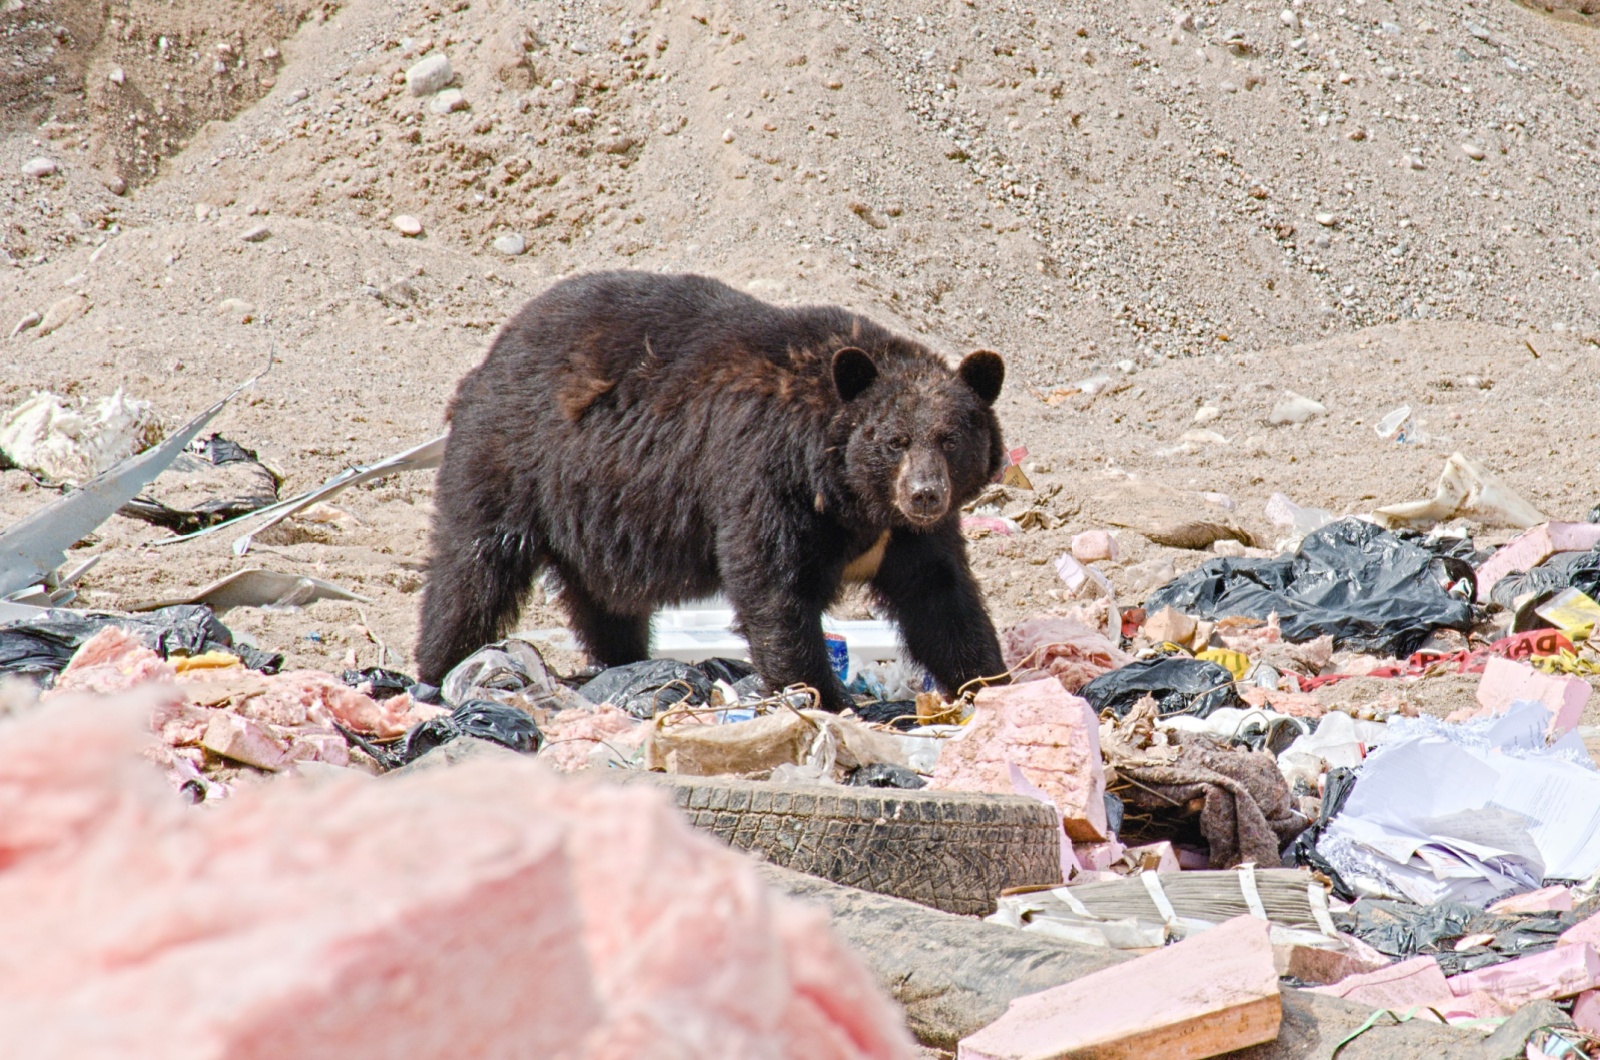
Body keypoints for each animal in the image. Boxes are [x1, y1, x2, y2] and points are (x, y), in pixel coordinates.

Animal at [419, 272, 1004, 714]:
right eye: (894, 440)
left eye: (950, 439)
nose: (925, 494)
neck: (849, 497)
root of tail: (498, 347)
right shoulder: (767, 473)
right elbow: (773, 586)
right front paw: (826, 697)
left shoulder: (908, 536)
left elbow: (941, 599)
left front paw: (989, 681)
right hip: (512, 458)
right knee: (472, 569)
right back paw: (441, 668)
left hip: (590, 509)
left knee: (604, 601)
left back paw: (622, 660)